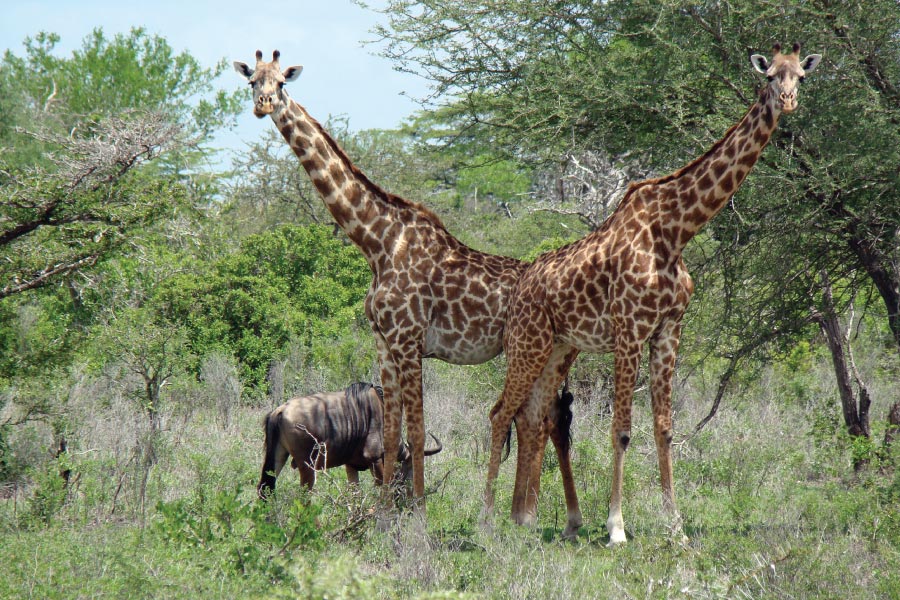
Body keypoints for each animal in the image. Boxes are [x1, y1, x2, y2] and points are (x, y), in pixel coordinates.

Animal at [233, 51, 582, 525]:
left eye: (282, 83)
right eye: (252, 81)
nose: (264, 104)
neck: (378, 242)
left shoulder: (409, 338)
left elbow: (415, 432)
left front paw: (417, 512)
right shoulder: (383, 341)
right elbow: (391, 433)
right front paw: (382, 514)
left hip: (533, 352)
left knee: (530, 419)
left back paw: (513, 515)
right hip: (554, 354)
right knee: (539, 420)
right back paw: (525, 515)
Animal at [482, 43, 822, 544]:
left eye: (800, 75)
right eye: (770, 76)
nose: (788, 101)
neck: (675, 230)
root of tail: (521, 285)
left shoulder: (667, 330)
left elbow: (664, 428)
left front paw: (676, 528)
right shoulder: (629, 331)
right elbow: (621, 429)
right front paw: (617, 529)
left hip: (558, 348)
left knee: (532, 415)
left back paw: (524, 520)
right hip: (527, 343)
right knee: (499, 413)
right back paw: (488, 519)